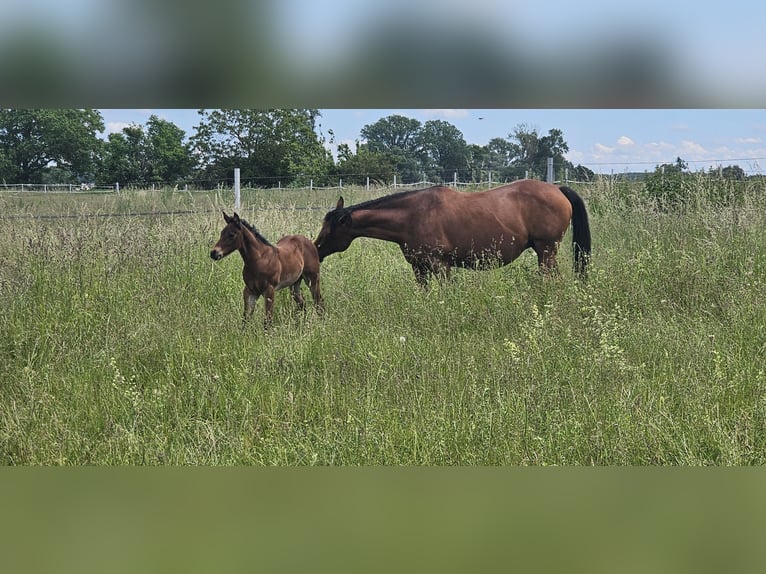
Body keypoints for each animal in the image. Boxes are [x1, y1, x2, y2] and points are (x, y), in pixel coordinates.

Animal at [316, 180, 592, 286]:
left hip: (546, 251)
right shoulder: (420, 269)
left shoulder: (440, 266)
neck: (412, 216)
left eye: (329, 230)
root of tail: (557, 189)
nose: (315, 249)